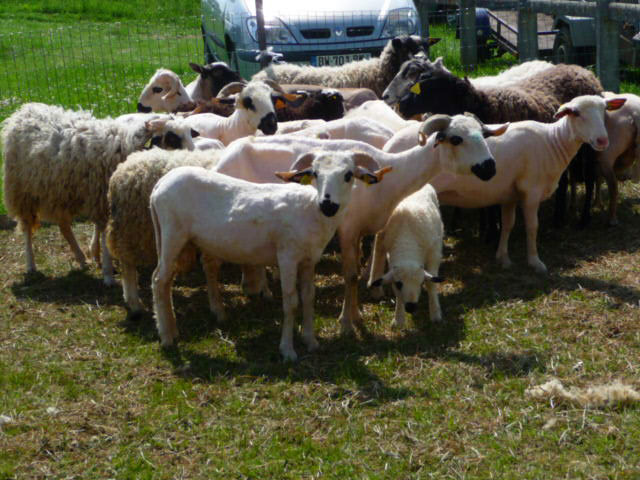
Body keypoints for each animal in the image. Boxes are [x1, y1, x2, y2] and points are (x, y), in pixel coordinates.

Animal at [0, 102, 198, 284]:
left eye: (190, 133)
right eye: (172, 138)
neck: (126, 146)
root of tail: (24, 111)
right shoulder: (102, 199)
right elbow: (104, 235)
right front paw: (108, 274)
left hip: (59, 191)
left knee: (64, 226)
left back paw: (81, 258)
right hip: (22, 191)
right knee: (27, 227)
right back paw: (31, 265)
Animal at [150, 150, 390, 360]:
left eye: (348, 175)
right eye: (315, 173)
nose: (328, 205)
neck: (310, 210)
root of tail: (160, 184)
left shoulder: (309, 260)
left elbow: (309, 297)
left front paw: (311, 341)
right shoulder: (287, 257)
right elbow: (291, 302)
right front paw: (288, 350)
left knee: (172, 278)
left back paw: (180, 326)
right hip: (173, 233)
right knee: (159, 280)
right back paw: (167, 337)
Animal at [364, 184, 444, 326]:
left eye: (420, 283)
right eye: (399, 284)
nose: (411, 307)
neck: (407, 241)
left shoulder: (434, 253)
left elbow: (431, 283)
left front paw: (435, 313)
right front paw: (399, 319)